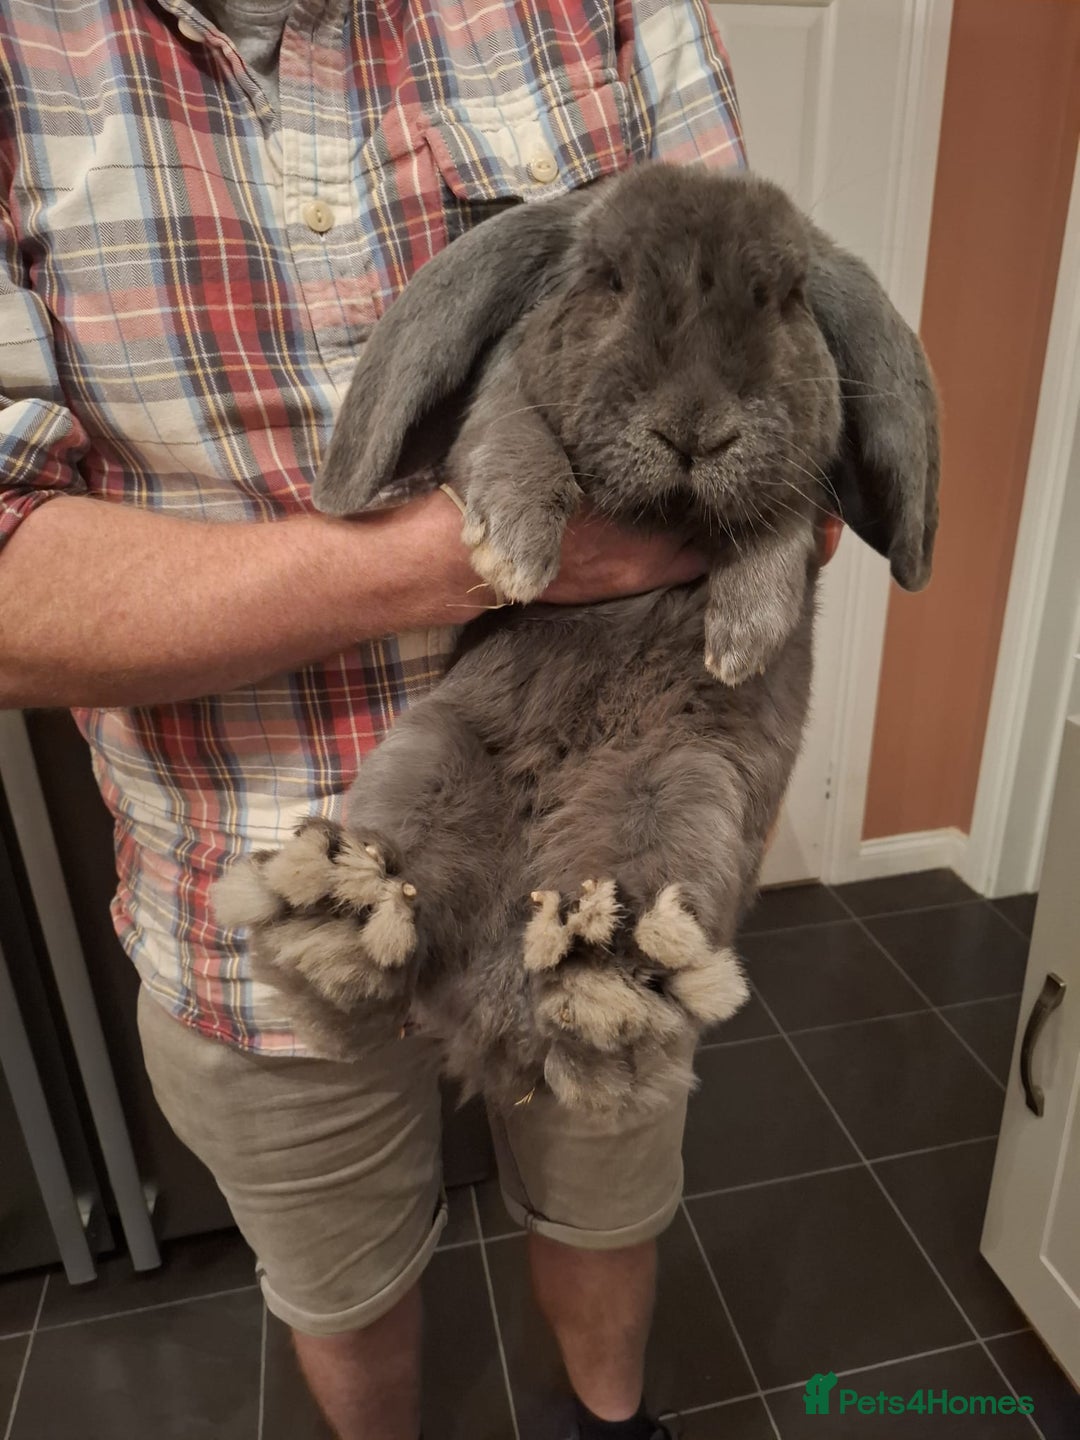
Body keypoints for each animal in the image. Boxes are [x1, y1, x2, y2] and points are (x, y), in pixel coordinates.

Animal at [215, 164, 939, 1114]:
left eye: (783, 298)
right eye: (609, 280)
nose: (695, 428)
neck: (663, 509)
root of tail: (484, 1003)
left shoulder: (793, 479)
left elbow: (779, 516)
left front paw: (743, 640)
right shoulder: (504, 404)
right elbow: (514, 435)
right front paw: (518, 554)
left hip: (679, 794)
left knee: (606, 930)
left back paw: (600, 978)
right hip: (434, 757)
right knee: (400, 901)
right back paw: (341, 920)